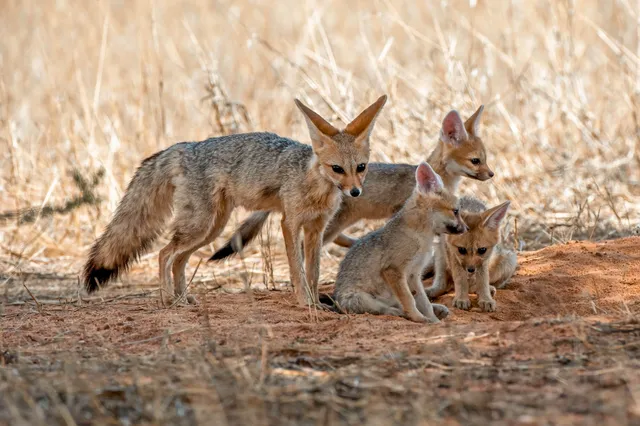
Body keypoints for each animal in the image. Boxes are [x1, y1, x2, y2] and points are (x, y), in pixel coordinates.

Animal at [82, 95, 387, 307]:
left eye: (360, 167)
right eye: (337, 169)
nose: (355, 192)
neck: (316, 187)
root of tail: (184, 147)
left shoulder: (316, 229)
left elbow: (312, 271)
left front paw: (316, 302)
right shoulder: (289, 223)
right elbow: (297, 270)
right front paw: (305, 302)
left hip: (210, 229)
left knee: (178, 259)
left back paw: (183, 298)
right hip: (200, 226)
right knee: (164, 254)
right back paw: (168, 300)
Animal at [331, 162, 467, 323]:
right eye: (456, 211)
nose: (467, 228)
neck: (422, 239)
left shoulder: (414, 275)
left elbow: (424, 302)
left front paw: (433, 320)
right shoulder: (393, 270)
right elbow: (409, 300)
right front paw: (419, 318)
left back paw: (438, 309)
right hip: (361, 298)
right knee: (386, 309)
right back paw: (400, 312)